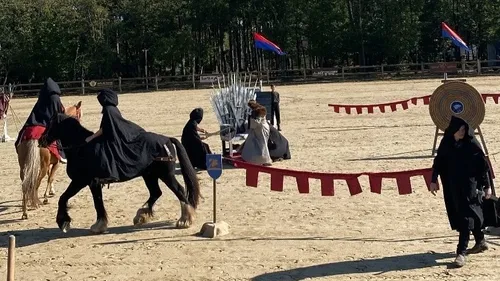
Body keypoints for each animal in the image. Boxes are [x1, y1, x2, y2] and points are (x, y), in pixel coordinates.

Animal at [38, 112, 201, 233]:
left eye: (51, 124)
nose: (41, 140)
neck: (81, 148)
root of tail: (167, 140)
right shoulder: (91, 183)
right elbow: (94, 202)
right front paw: (98, 224)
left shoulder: (82, 181)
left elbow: (66, 199)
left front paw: (64, 222)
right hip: (149, 175)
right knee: (156, 192)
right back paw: (141, 216)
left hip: (166, 175)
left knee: (179, 190)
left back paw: (185, 220)